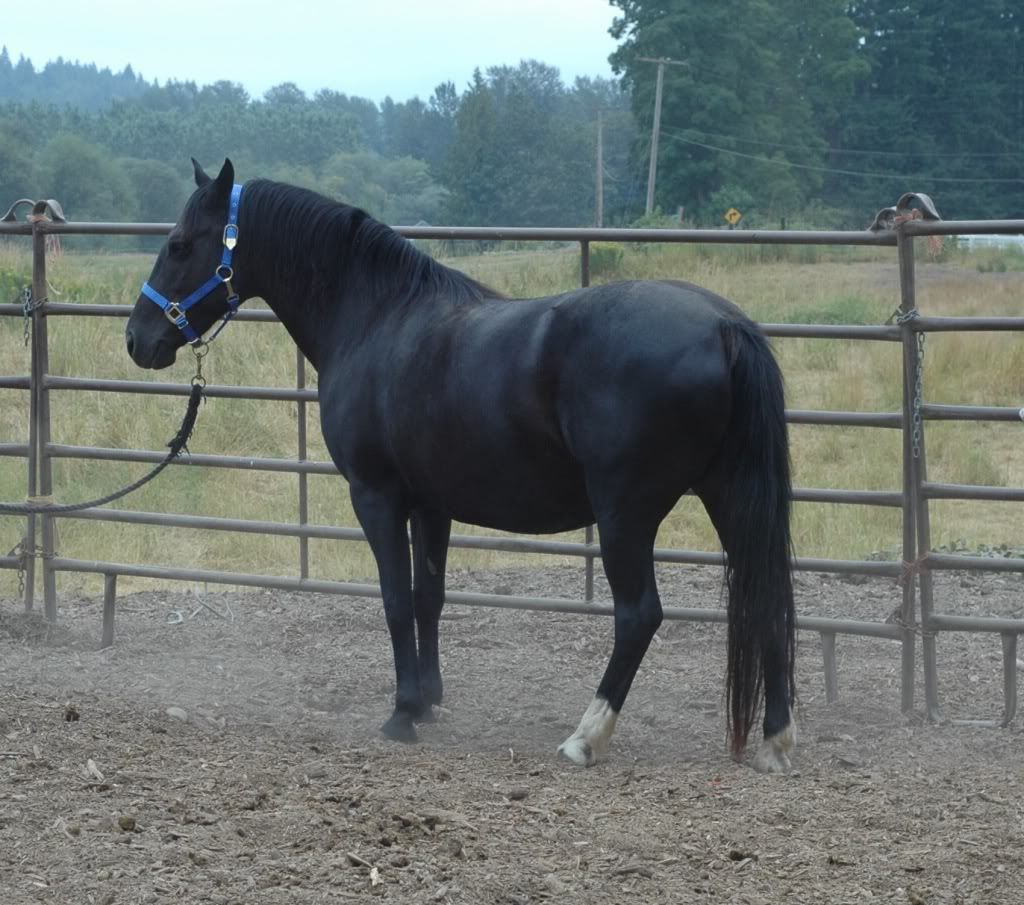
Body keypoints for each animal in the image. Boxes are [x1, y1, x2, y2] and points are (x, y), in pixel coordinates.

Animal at [126, 158, 797, 772]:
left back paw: (586, 737)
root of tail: (723, 326)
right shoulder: (431, 503)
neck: (377, 318)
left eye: (179, 244)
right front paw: (426, 701)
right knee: (765, 596)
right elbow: (430, 596)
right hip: (729, 496)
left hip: (624, 514)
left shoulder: (375, 496)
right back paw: (775, 740)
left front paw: (401, 714)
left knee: (638, 615)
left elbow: (395, 598)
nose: (138, 338)